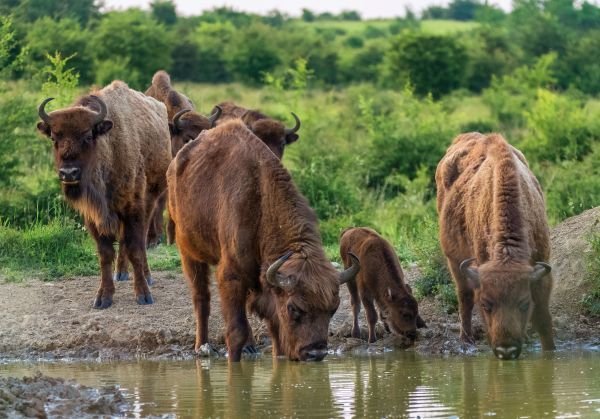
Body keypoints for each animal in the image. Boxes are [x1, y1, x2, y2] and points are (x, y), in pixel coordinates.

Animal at [37, 81, 172, 308]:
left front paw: (143, 294)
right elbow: (105, 253)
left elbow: (135, 248)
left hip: (151, 198)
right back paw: (121, 273)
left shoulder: (133, 207)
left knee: (140, 239)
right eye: (54, 138)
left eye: (87, 136)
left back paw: (146, 275)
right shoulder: (93, 215)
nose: (69, 173)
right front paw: (103, 297)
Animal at [166, 120, 358, 362]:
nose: (316, 352)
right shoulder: (231, 277)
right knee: (201, 297)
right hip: (189, 252)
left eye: (333, 309)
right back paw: (202, 346)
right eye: (294, 308)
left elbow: (275, 330)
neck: (260, 201)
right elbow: (236, 331)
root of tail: (176, 163)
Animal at [434, 133, 556, 360]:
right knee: (464, 297)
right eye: (486, 305)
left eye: (524, 303)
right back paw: (466, 340)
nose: (506, 350)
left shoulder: (542, 271)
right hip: (453, 260)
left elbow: (544, 320)